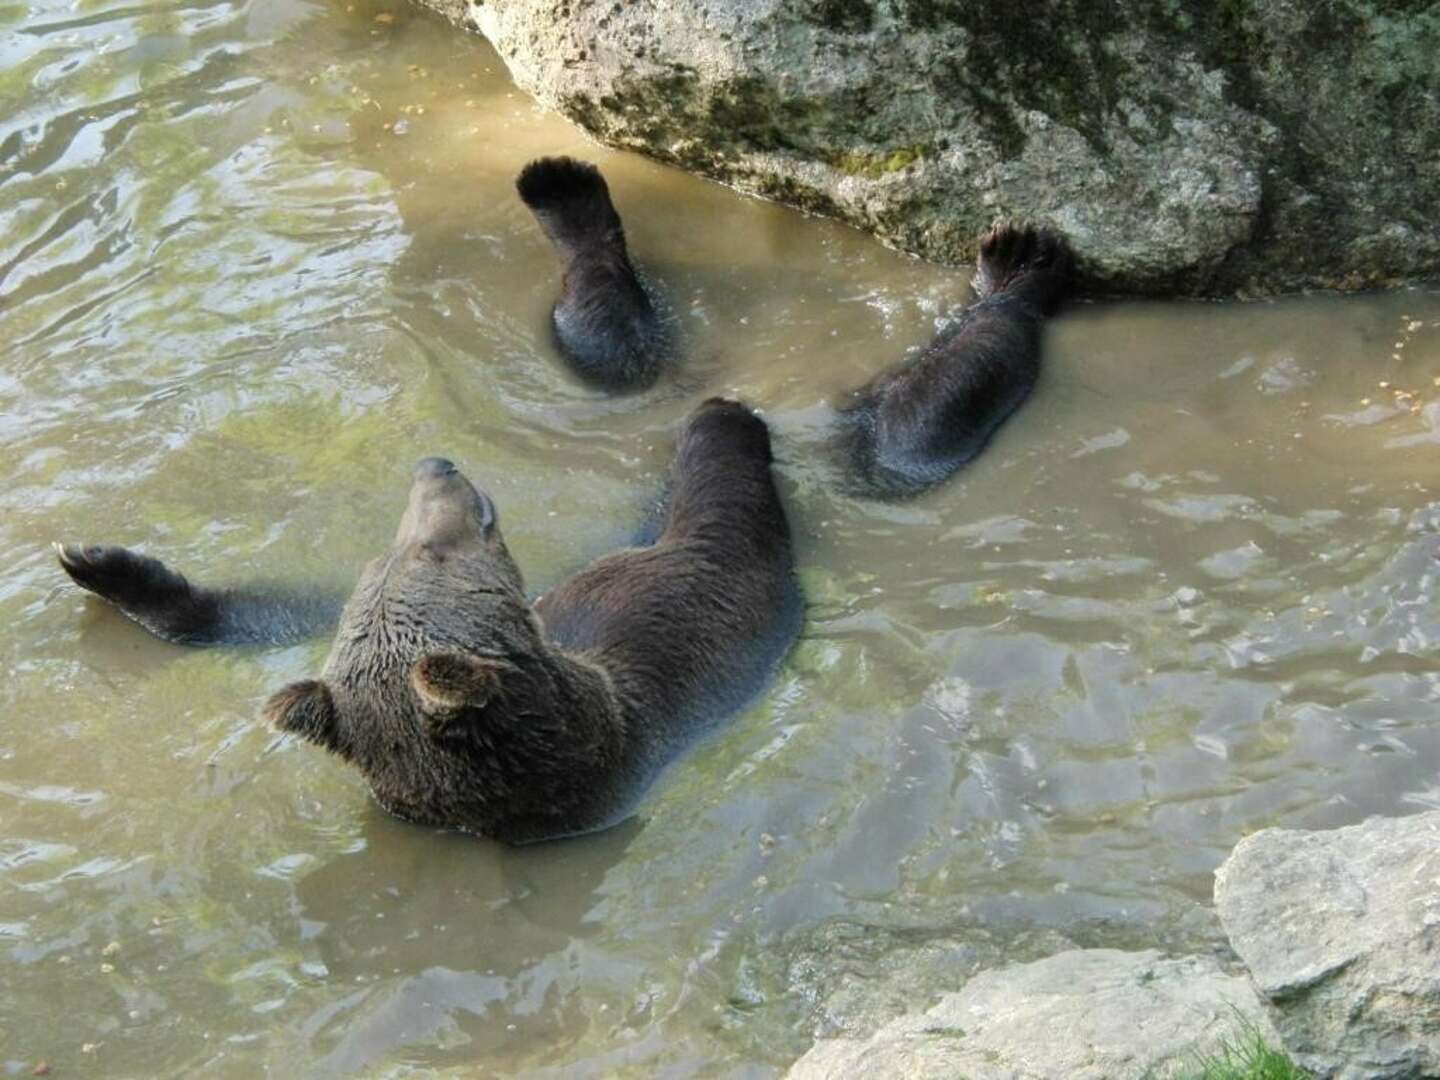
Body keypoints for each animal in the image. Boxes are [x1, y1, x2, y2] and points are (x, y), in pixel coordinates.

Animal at [56, 397, 800, 846]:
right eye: (425, 547)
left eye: (403, 546)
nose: (437, 465)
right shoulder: (669, 625)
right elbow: (722, 526)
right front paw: (723, 417)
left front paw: (101, 562)